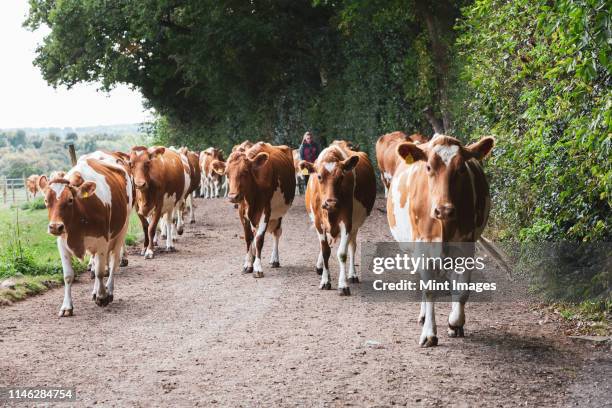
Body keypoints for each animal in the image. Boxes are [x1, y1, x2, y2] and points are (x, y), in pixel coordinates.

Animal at [39, 151, 134, 314]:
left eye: (70, 200)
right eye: (46, 200)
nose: (55, 227)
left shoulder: (102, 241)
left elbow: (101, 271)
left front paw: (102, 297)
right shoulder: (62, 243)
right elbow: (68, 276)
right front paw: (67, 306)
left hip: (122, 229)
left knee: (114, 261)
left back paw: (109, 290)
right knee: (96, 263)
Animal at [220, 142, 296, 278]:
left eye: (245, 172)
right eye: (226, 173)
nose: (233, 197)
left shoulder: (265, 210)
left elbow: (259, 239)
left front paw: (258, 267)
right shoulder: (242, 211)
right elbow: (248, 238)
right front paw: (248, 264)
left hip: (278, 214)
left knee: (277, 232)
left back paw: (274, 260)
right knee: (254, 234)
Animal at [298, 142, 376, 294]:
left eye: (341, 177)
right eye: (319, 176)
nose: (331, 203)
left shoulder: (347, 222)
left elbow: (342, 253)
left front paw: (343, 284)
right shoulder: (318, 223)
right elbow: (325, 251)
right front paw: (325, 280)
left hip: (355, 225)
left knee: (352, 246)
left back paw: (352, 275)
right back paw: (321, 268)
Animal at [390, 135, 494, 346]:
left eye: (461, 168)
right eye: (429, 167)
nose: (444, 210)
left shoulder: (466, 248)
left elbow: (462, 289)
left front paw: (455, 322)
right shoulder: (423, 249)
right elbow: (430, 289)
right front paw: (429, 333)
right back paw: (423, 316)